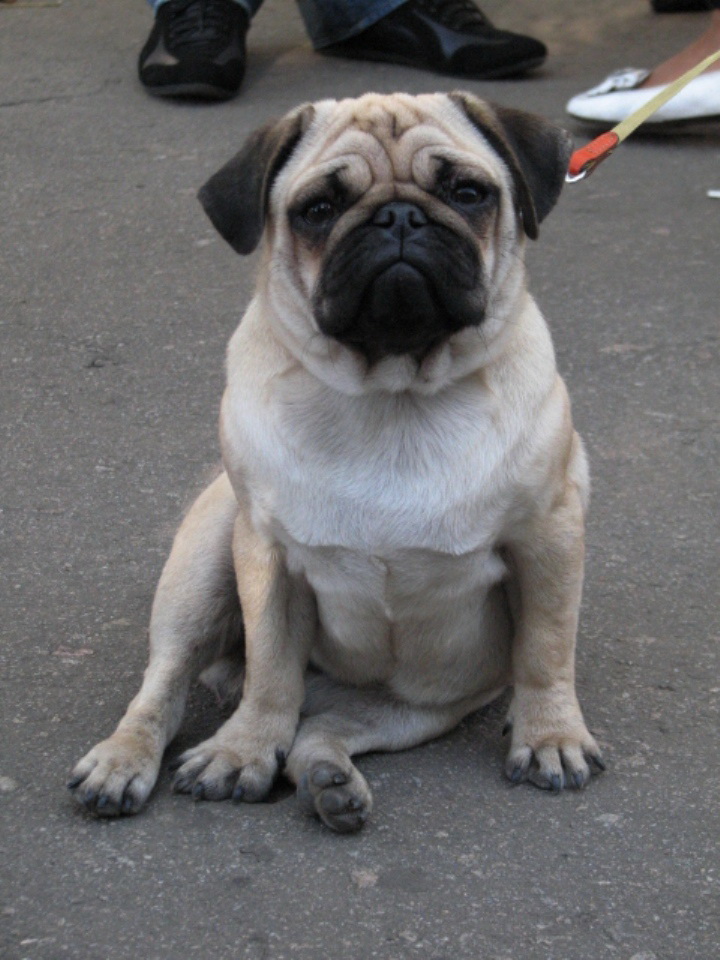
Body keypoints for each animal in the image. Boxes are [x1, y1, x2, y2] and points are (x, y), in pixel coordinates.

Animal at [68, 92, 605, 833]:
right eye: (318, 209)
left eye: (468, 193)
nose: (399, 215)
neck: (394, 394)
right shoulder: (266, 557)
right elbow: (271, 668)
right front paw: (242, 750)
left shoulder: (547, 539)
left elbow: (548, 648)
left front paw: (551, 734)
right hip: (202, 567)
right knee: (172, 685)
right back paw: (127, 760)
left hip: (408, 708)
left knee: (318, 732)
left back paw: (330, 780)